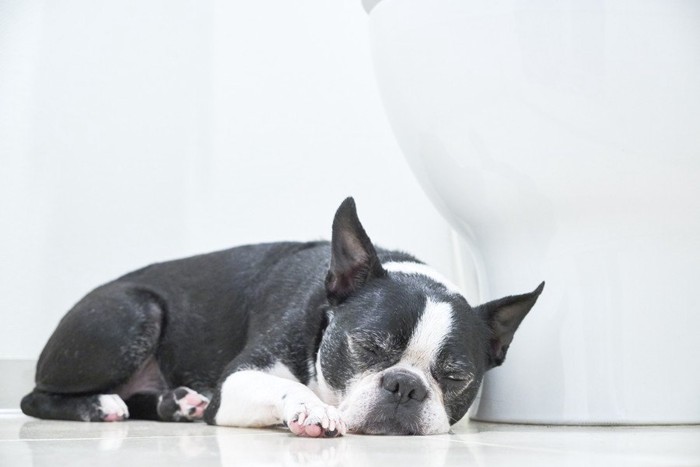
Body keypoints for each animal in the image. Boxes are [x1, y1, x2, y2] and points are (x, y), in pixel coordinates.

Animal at [19, 198, 540, 438]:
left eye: (455, 377)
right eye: (367, 346)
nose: (405, 386)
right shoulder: (235, 384)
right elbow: (283, 386)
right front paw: (311, 409)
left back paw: (177, 404)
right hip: (133, 314)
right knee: (33, 398)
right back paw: (100, 405)